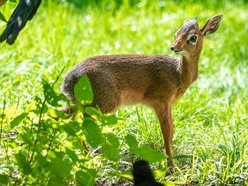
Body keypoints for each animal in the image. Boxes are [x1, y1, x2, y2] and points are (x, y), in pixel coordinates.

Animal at [61, 13, 223, 166]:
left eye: (193, 37)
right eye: (176, 34)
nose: (174, 47)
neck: (177, 74)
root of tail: (68, 81)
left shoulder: (168, 104)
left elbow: (171, 130)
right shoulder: (161, 102)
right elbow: (166, 132)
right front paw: (170, 168)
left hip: (82, 104)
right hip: (101, 104)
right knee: (79, 123)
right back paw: (88, 157)